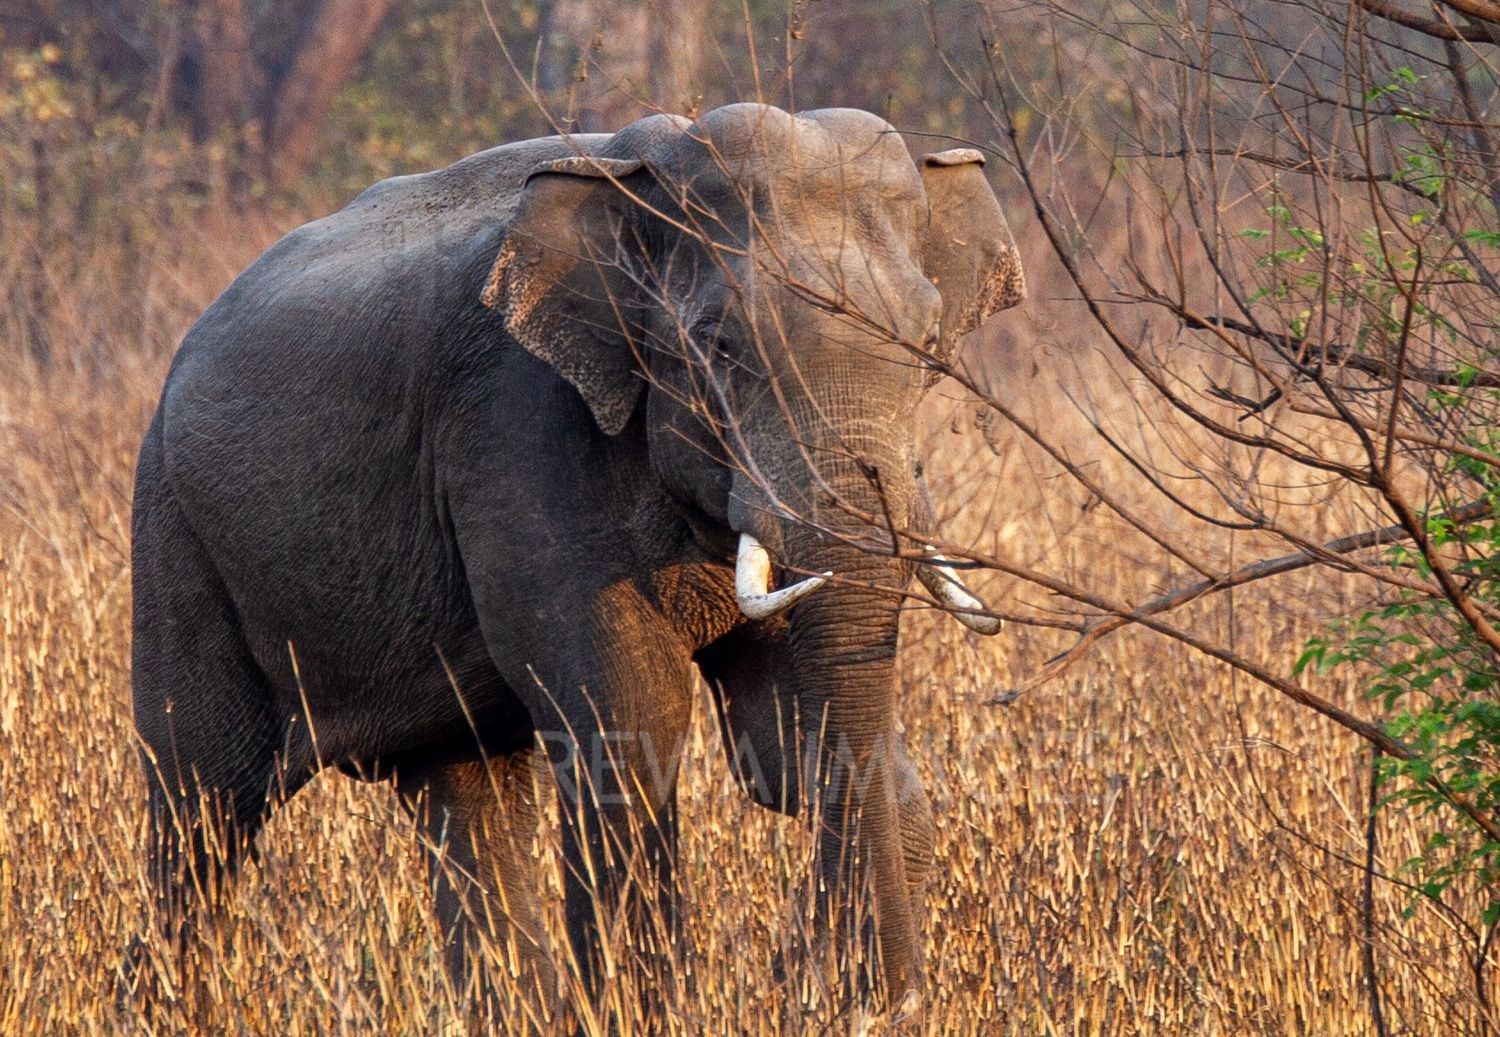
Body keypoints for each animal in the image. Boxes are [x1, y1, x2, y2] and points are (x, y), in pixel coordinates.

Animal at [126, 102, 1024, 1024]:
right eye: (721, 345)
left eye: (928, 342)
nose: (888, 1004)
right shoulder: (520, 429)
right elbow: (630, 727)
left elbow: (783, 752)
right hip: (174, 539)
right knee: (203, 808)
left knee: (465, 793)